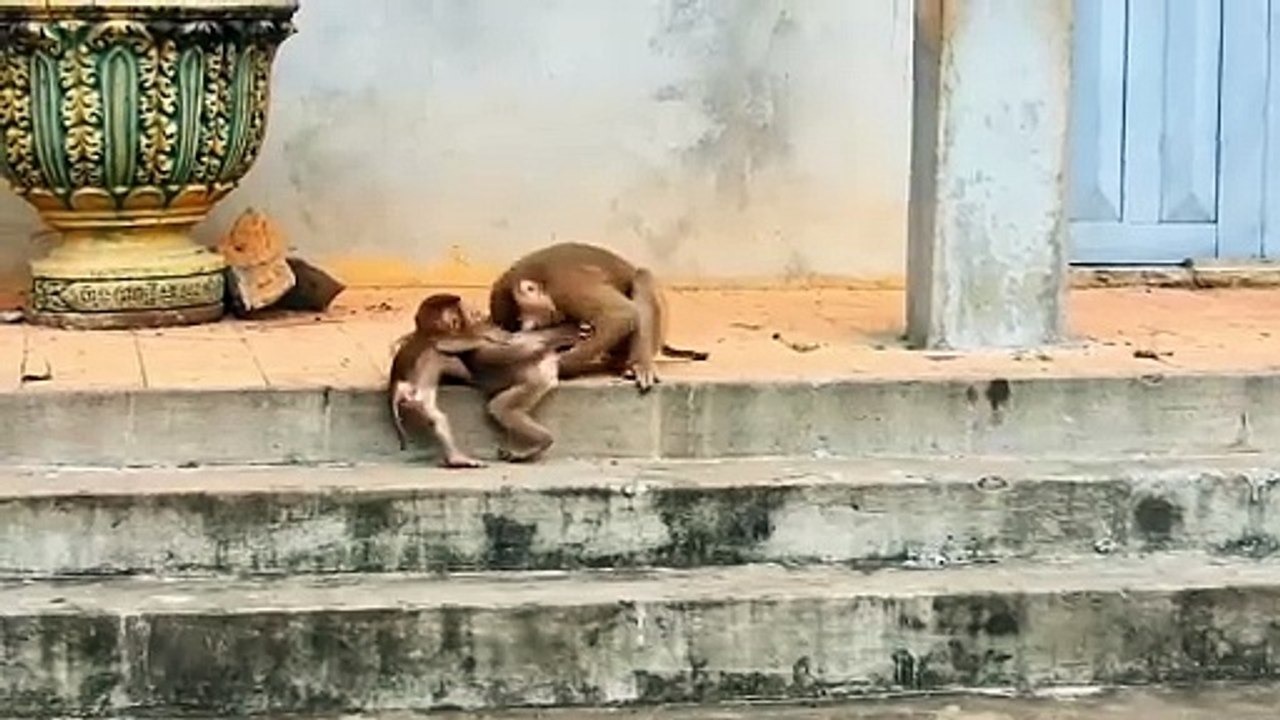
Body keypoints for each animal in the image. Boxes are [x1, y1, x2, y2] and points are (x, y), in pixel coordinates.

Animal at [489, 242, 709, 393]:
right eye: (518, 321)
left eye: (522, 314)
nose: (526, 324)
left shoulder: (566, 288)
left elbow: (621, 314)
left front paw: (559, 365)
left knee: (641, 278)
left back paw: (638, 362)